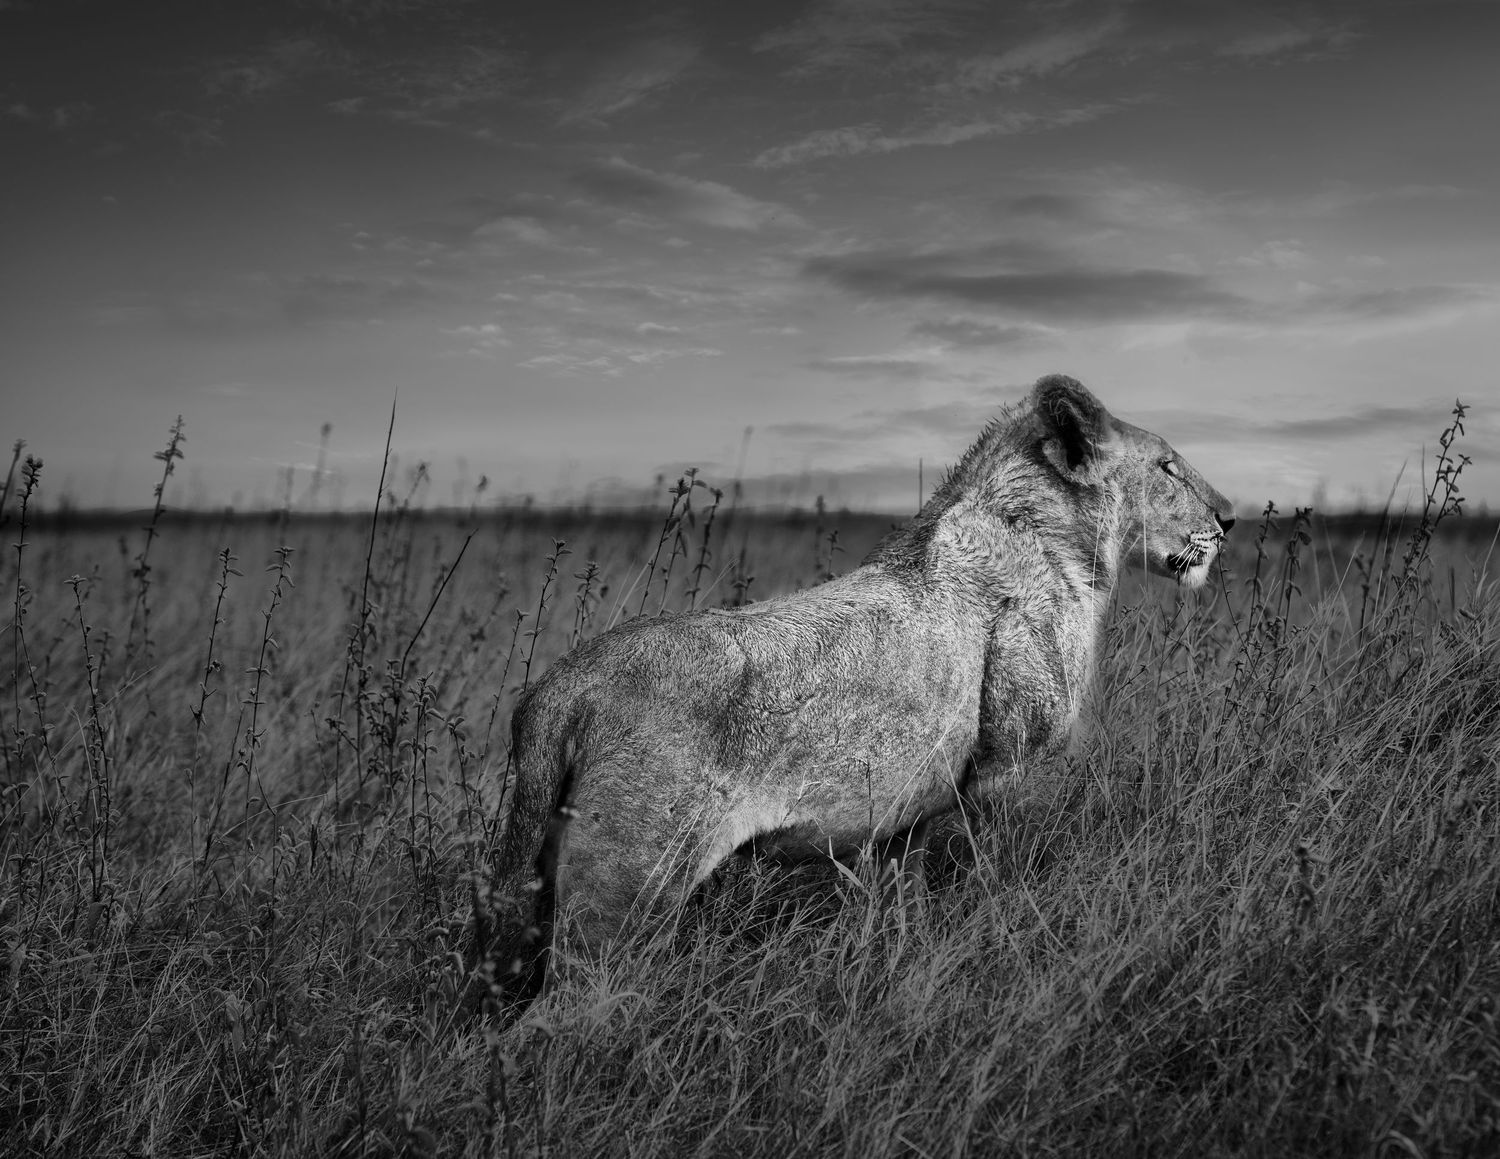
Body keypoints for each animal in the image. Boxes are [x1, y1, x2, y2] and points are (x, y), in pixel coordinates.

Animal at [477, 374, 1234, 1008]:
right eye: (1168, 467)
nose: (1230, 518)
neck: (1055, 539)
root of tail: (559, 688)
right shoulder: (1008, 773)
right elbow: (998, 878)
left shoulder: (908, 814)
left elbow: (904, 903)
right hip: (626, 892)